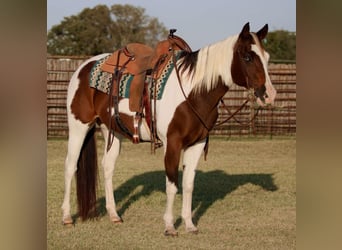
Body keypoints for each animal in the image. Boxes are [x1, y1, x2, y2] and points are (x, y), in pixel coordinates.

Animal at [60, 22, 276, 235]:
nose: (270, 95)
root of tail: (83, 67)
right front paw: (170, 226)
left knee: (107, 166)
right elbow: (172, 186)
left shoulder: (197, 144)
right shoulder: (172, 144)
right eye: (248, 57)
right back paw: (67, 217)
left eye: (267, 57)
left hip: (112, 131)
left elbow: (188, 185)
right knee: (71, 166)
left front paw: (189, 224)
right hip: (79, 127)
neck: (193, 93)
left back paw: (114, 215)